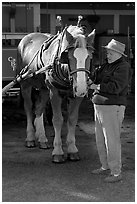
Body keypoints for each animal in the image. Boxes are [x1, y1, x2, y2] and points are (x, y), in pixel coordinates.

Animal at [17, 24, 95, 163]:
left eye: (89, 57)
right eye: (69, 57)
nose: (81, 88)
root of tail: (26, 37)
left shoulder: (75, 96)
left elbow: (72, 119)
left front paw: (72, 149)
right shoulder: (54, 92)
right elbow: (58, 120)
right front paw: (58, 151)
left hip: (44, 88)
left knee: (39, 109)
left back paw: (42, 138)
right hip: (25, 83)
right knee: (28, 108)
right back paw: (30, 137)